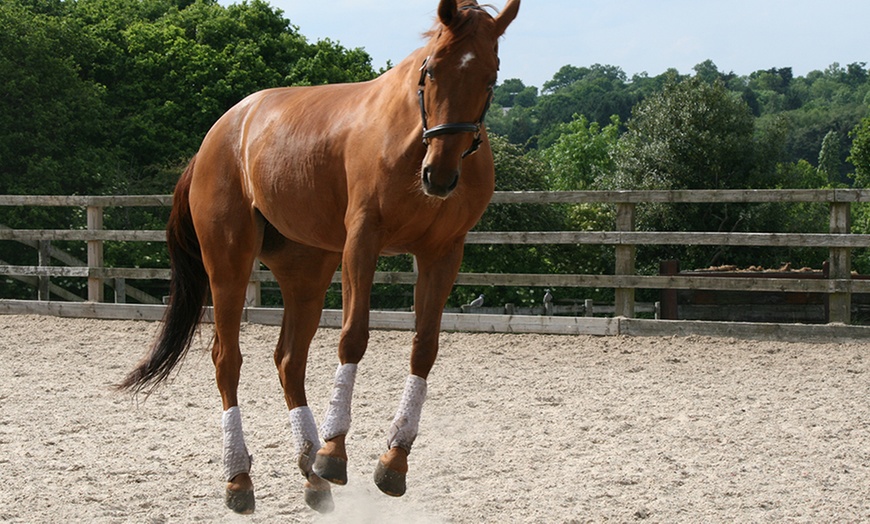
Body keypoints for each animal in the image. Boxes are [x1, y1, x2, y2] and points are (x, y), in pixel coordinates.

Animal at [120, 0, 520, 516]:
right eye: (431, 69)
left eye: (490, 78)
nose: (441, 174)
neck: (410, 140)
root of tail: (218, 134)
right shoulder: (361, 242)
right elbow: (353, 338)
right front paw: (335, 451)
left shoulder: (443, 253)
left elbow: (424, 349)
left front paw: (393, 461)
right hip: (228, 262)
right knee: (227, 359)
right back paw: (241, 476)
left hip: (306, 271)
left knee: (289, 361)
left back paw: (311, 474)